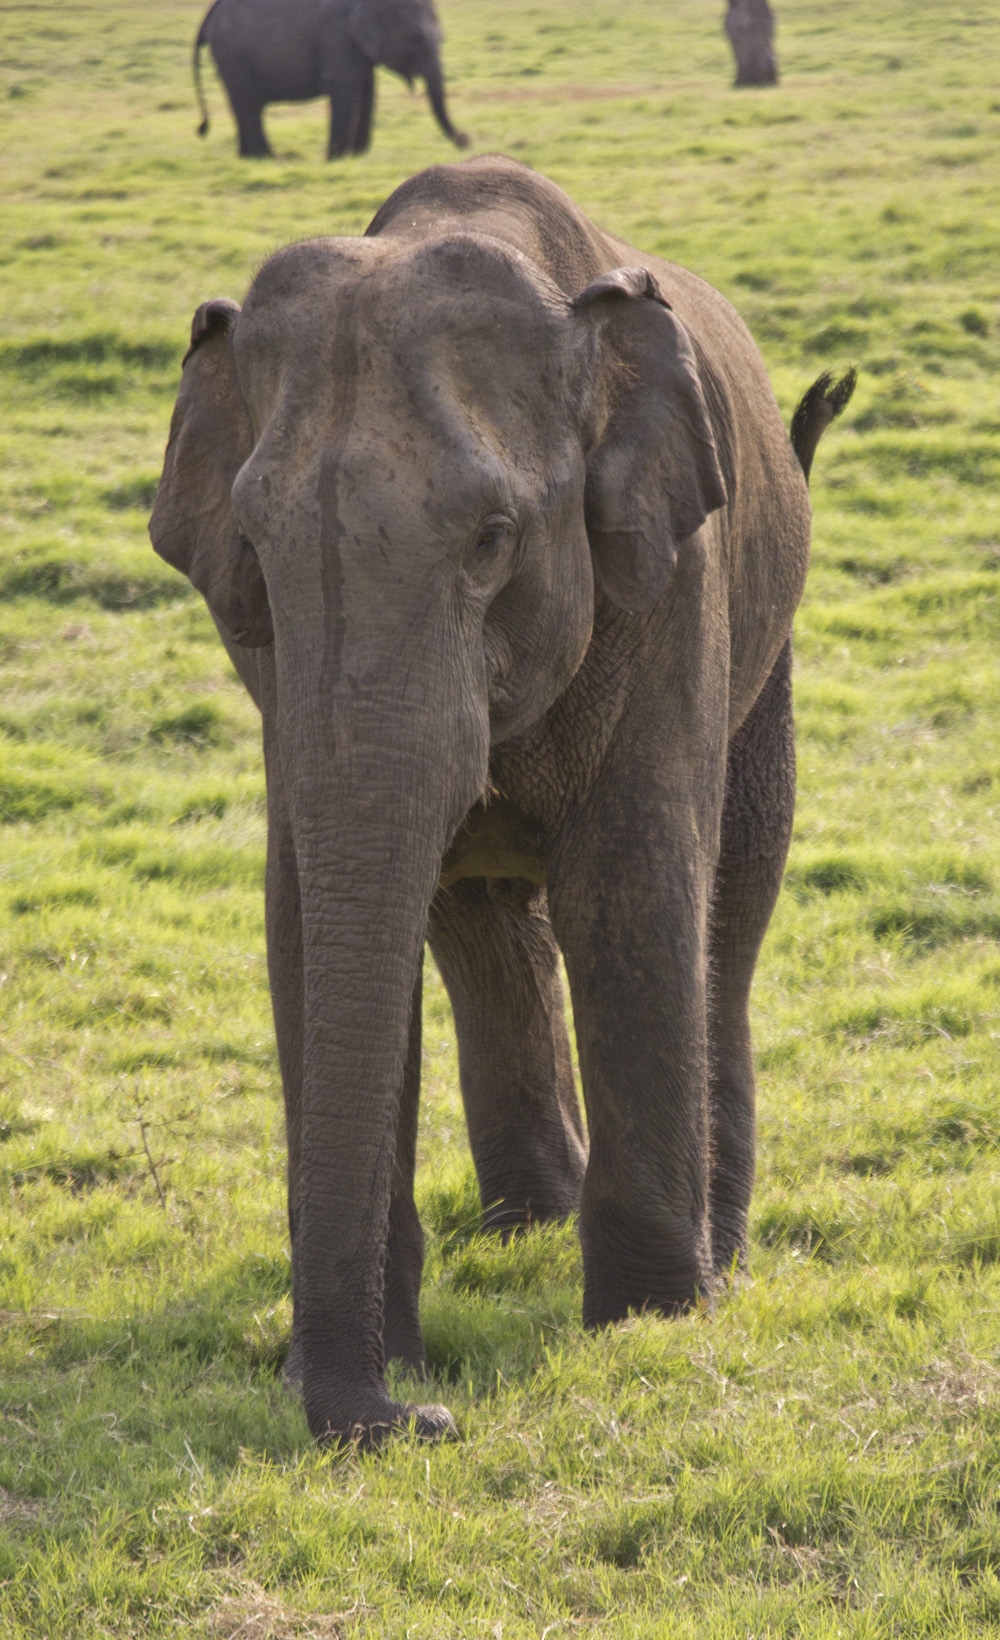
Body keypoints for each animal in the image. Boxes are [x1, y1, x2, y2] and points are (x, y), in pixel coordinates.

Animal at [151, 154, 852, 1443]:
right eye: (255, 552)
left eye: (491, 537)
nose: (416, 1417)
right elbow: (303, 917)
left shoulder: (673, 589)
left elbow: (630, 890)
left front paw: (646, 1324)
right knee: (481, 924)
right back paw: (530, 1220)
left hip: (767, 643)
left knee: (729, 903)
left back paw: (714, 1253)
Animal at [193, 0, 465, 158]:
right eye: (416, 38)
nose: (465, 140)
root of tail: (211, 10)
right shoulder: (338, 36)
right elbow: (345, 88)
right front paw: (336, 158)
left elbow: (367, 89)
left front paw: (357, 155)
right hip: (232, 54)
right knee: (246, 101)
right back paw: (265, 158)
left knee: (244, 104)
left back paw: (251, 157)